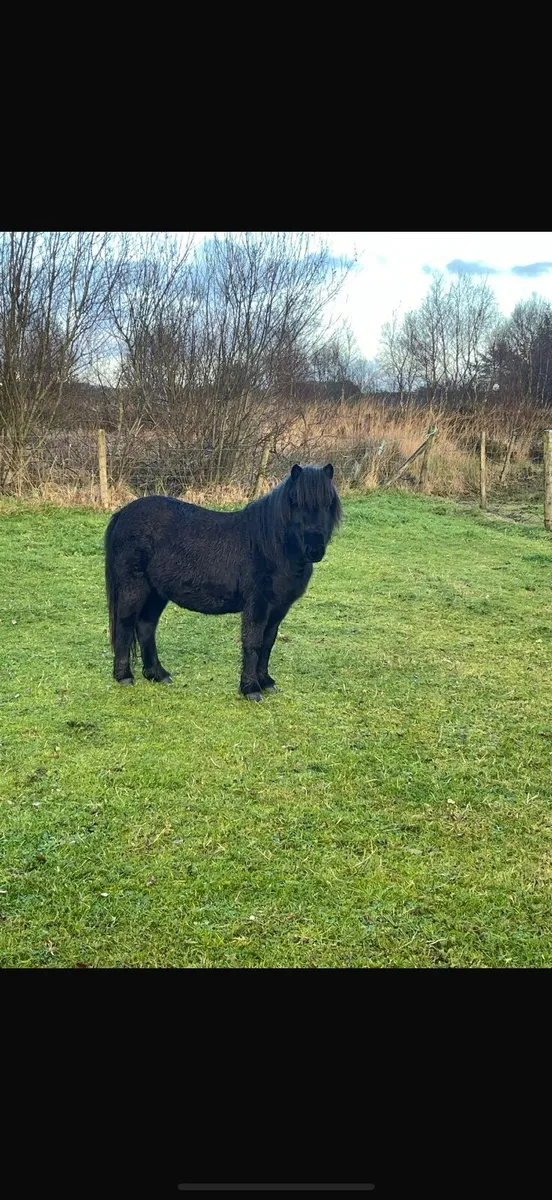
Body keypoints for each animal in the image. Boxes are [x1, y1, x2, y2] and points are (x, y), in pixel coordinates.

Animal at [104, 463, 341, 701]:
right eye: (296, 502)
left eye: (328, 503)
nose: (315, 550)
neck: (271, 547)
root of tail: (123, 514)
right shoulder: (258, 605)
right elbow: (253, 642)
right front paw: (251, 689)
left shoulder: (278, 608)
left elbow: (267, 643)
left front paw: (266, 682)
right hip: (134, 588)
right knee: (125, 624)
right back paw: (124, 676)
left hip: (156, 593)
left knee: (146, 626)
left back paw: (158, 674)